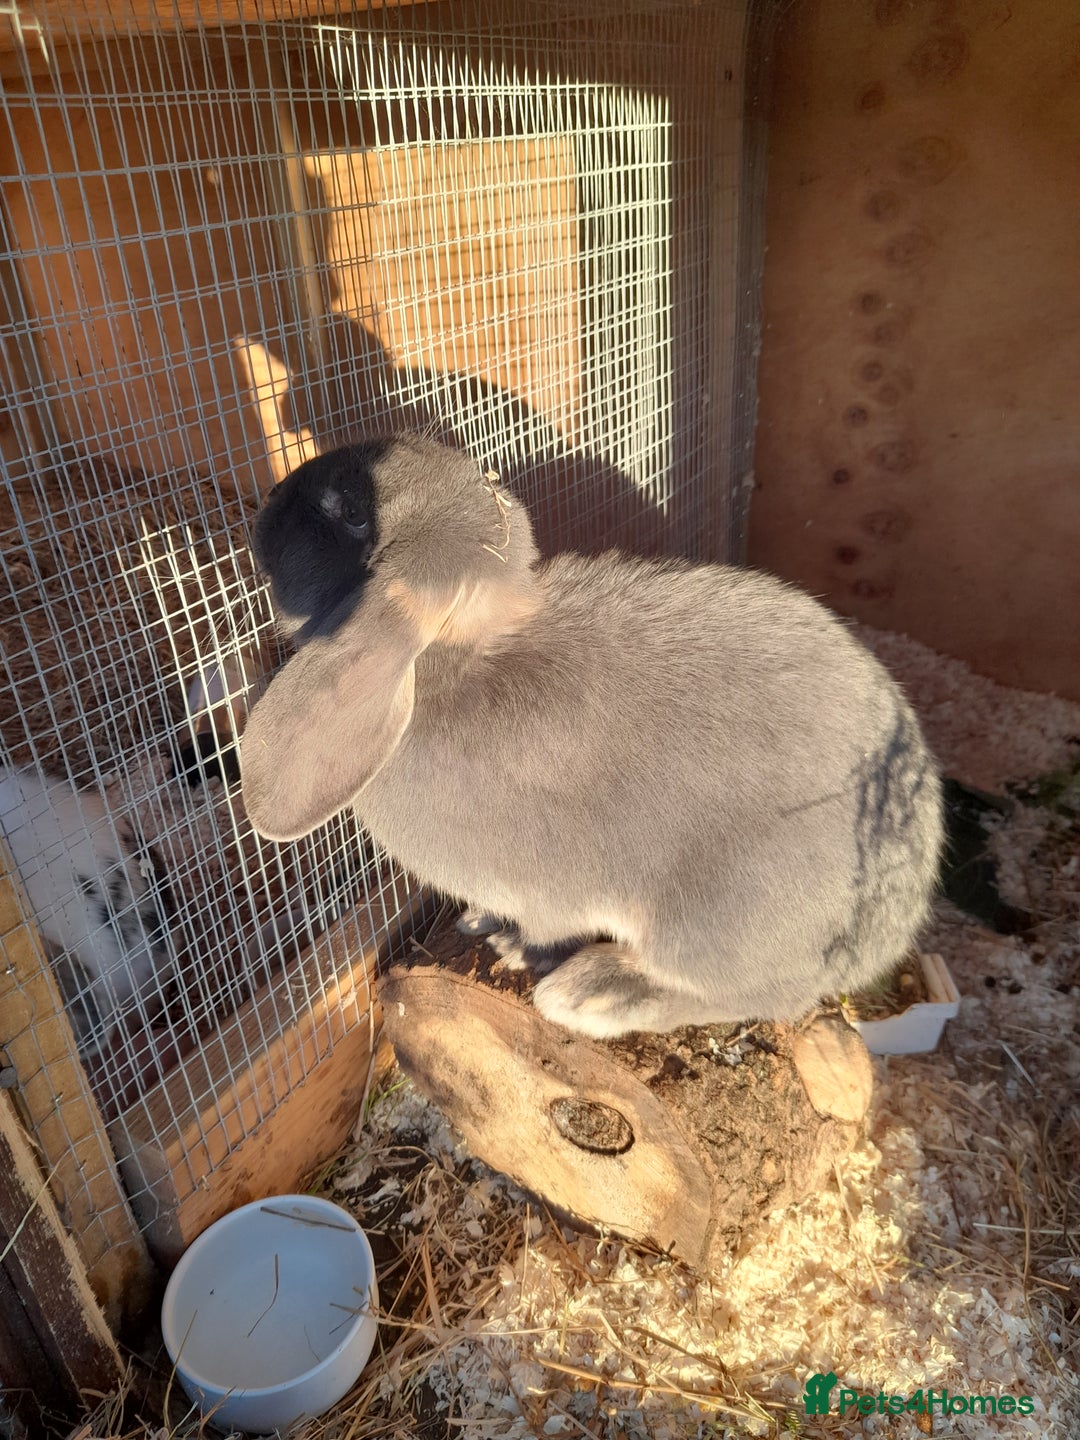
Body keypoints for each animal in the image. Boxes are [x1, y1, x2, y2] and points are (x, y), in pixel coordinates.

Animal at [240, 433, 944, 1039]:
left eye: (349, 511)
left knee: (757, 995)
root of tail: (890, 927)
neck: (448, 663)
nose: (267, 500)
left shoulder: (546, 891)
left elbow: (547, 929)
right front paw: (480, 922)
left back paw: (590, 995)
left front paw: (516, 949)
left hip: (720, 917)